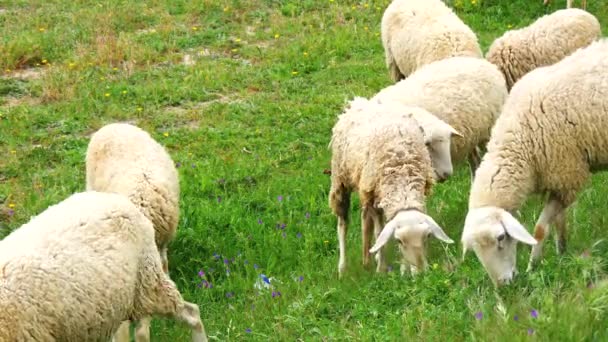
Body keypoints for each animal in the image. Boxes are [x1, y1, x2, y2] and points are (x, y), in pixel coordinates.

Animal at [328, 97, 452, 278]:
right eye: (399, 241)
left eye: (427, 237)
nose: (421, 273)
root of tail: (358, 101)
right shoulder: (373, 193)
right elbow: (380, 233)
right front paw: (382, 269)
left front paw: (402, 268)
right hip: (342, 179)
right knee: (343, 224)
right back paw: (343, 268)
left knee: (365, 220)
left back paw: (367, 259)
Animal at [458, 38, 608, 288]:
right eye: (476, 251)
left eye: (501, 238)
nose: (504, 285)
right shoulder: (557, 181)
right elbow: (558, 222)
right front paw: (562, 251)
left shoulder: (567, 174)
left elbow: (539, 229)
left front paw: (533, 266)